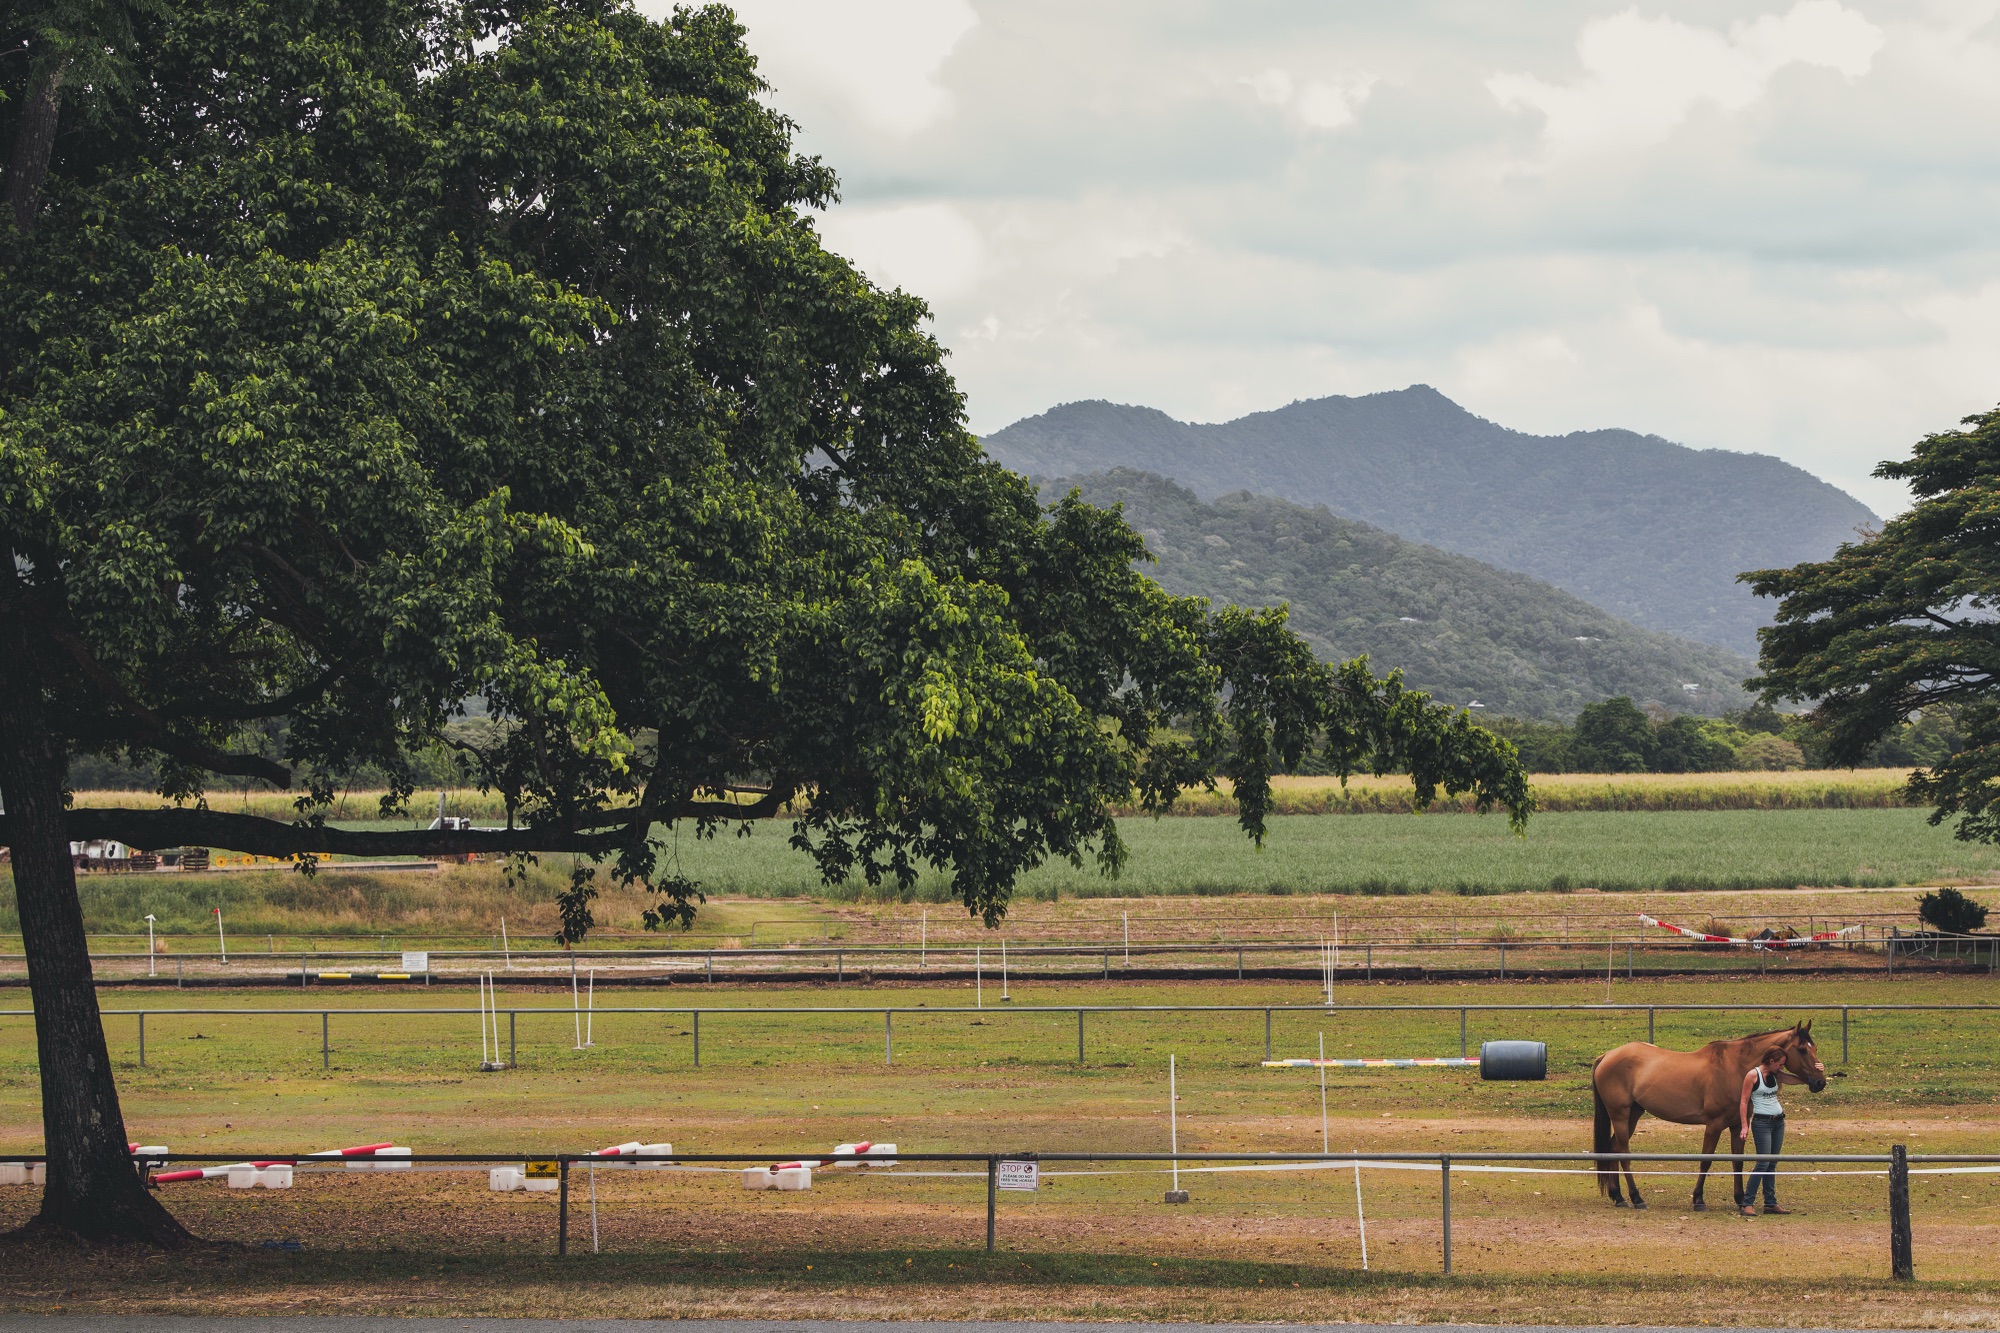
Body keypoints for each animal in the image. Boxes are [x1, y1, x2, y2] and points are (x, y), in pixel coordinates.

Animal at [1592, 1016, 1832, 1200]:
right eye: (1802, 1050)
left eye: (1814, 1048)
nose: (1820, 1082)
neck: (1736, 1067)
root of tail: (1607, 1056)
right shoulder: (1714, 1125)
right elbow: (1706, 1161)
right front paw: (1698, 1198)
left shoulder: (1738, 1126)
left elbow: (1737, 1162)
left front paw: (1739, 1199)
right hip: (1620, 1115)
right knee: (1623, 1153)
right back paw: (1636, 1197)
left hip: (1633, 1114)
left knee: (1613, 1148)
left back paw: (1618, 1196)